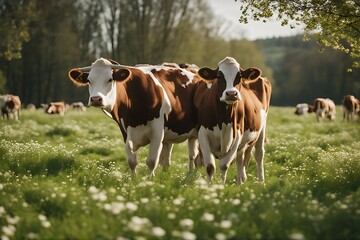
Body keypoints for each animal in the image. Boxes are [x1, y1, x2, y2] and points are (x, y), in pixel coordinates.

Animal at [68, 56, 201, 176]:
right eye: (89, 80)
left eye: (110, 79)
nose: (96, 99)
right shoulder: (126, 132)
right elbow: (132, 162)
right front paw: (133, 181)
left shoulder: (157, 133)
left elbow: (152, 161)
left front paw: (150, 181)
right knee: (176, 158)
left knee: (195, 156)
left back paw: (193, 174)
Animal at [194, 57, 270, 185]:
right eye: (219, 76)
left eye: (239, 76)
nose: (231, 94)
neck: (224, 120)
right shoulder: (202, 134)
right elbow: (210, 166)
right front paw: (208, 187)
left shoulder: (237, 135)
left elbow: (224, 165)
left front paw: (221, 186)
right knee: (240, 158)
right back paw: (240, 183)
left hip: (261, 129)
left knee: (259, 154)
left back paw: (260, 182)